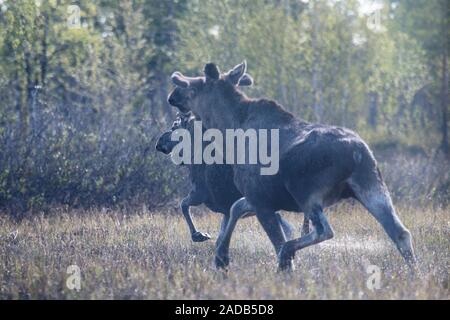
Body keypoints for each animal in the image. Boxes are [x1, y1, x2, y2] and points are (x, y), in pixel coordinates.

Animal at [167, 60, 416, 270]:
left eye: (194, 85)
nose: (172, 95)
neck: (229, 130)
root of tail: (356, 152)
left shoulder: (261, 200)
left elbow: (270, 234)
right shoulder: (259, 196)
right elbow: (236, 207)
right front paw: (221, 257)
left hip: (306, 192)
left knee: (323, 231)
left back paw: (288, 251)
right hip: (372, 186)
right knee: (401, 233)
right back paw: (414, 274)